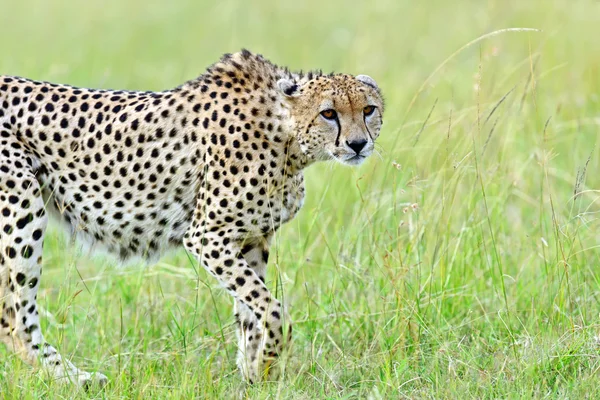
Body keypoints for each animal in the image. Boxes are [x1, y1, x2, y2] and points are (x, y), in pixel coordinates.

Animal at [0, 48, 384, 386]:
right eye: (328, 113)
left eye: (368, 109)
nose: (357, 144)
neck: (285, 132)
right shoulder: (206, 236)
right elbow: (271, 309)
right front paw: (266, 362)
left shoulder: (251, 240)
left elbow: (250, 312)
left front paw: (253, 371)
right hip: (22, 212)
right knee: (16, 320)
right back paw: (76, 380)